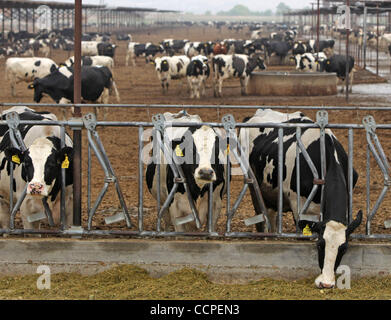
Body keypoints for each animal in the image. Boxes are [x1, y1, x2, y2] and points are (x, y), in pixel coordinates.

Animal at [240, 109, 362, 288]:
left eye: (344, 248)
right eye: (320, 244)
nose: (326, 284)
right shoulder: (299, 205)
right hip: (252, 183)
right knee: (261, 216)